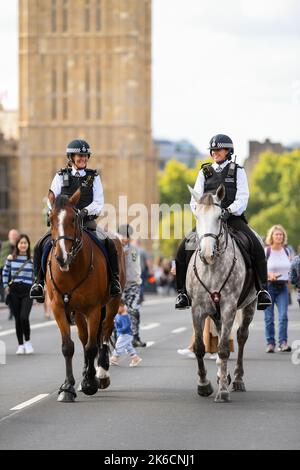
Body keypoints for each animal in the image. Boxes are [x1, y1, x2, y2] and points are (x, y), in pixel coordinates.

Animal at [46, 189, 125, 402]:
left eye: (74, 219)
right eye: (50, 218)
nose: (61, 257)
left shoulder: (94, 309)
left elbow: (92, 346)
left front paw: (90, 382)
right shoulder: (58, 308)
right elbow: (69, 346)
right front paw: (68, 387)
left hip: (111, 304)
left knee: (104, 333)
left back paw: (102, 374)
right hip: (78, 311)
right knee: (84, 338)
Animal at [186, 185, 256, 402]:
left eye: (219, 217)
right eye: (197, 216)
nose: (207, 253)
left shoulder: (228, 307)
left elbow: (224, 349)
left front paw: (223, 391)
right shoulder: (198, 309)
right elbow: (200, 347)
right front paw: (204, 385)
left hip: (249, 306)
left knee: (241, 337)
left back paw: (237, 379)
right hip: (215, 311)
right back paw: (220, 376)